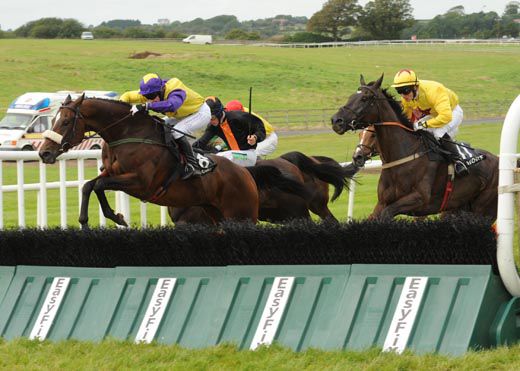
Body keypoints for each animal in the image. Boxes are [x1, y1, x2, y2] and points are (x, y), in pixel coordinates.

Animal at [39, 94, 304, 228]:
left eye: (65, 122)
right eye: (54, 119)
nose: (44, 153)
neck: (128, 133)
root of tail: (246, 173)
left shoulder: (141, 183)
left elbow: (100, 185)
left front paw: (116, 217)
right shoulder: (112, 173)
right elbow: (90, 185)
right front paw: (91, 220)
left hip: (242, 215)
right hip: (216, 215)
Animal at [332, 76, 498, 221]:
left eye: (364, 99)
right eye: (351, 96)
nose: (336, 121)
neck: (403, 155)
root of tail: (497, 159)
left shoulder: (419, 199)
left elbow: (387, 213)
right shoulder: (381, 203)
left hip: (483, 210)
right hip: (458, 207)